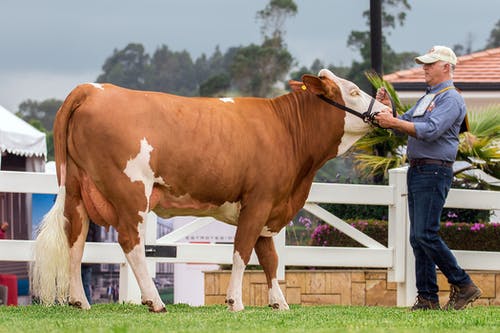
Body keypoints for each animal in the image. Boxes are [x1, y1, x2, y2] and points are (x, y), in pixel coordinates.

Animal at [31, 68, 388, 312]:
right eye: (353, 90)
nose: (385, 107)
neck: (287, 132)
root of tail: (91, 89)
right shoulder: (259, 201)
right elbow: (243, 251)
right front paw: (235, 302)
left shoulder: (271, 207)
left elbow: (269, 258)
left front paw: (279, 303)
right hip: (131, 192)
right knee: (130, 242)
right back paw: (155, 301)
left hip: (77, 189)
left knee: (75, 241)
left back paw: (80, 301)